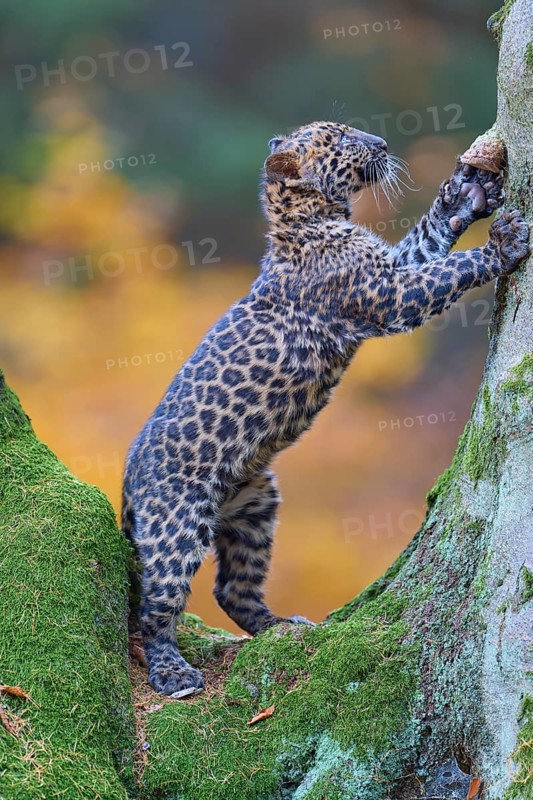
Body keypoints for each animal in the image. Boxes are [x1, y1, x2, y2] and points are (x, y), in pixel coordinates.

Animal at [122, 120, 529, 697]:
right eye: (339, 140)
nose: (382, 143)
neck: (310, 220)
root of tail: (128, 480)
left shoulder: (393, 269)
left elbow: (427, 240)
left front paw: (465, 197)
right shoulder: (389, 293)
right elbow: (449, 268)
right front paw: (502, 243)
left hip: (255, 508)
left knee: (232, 589)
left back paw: (279, 627)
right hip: (177, 525)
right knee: (155, 607)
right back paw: (173, 672)